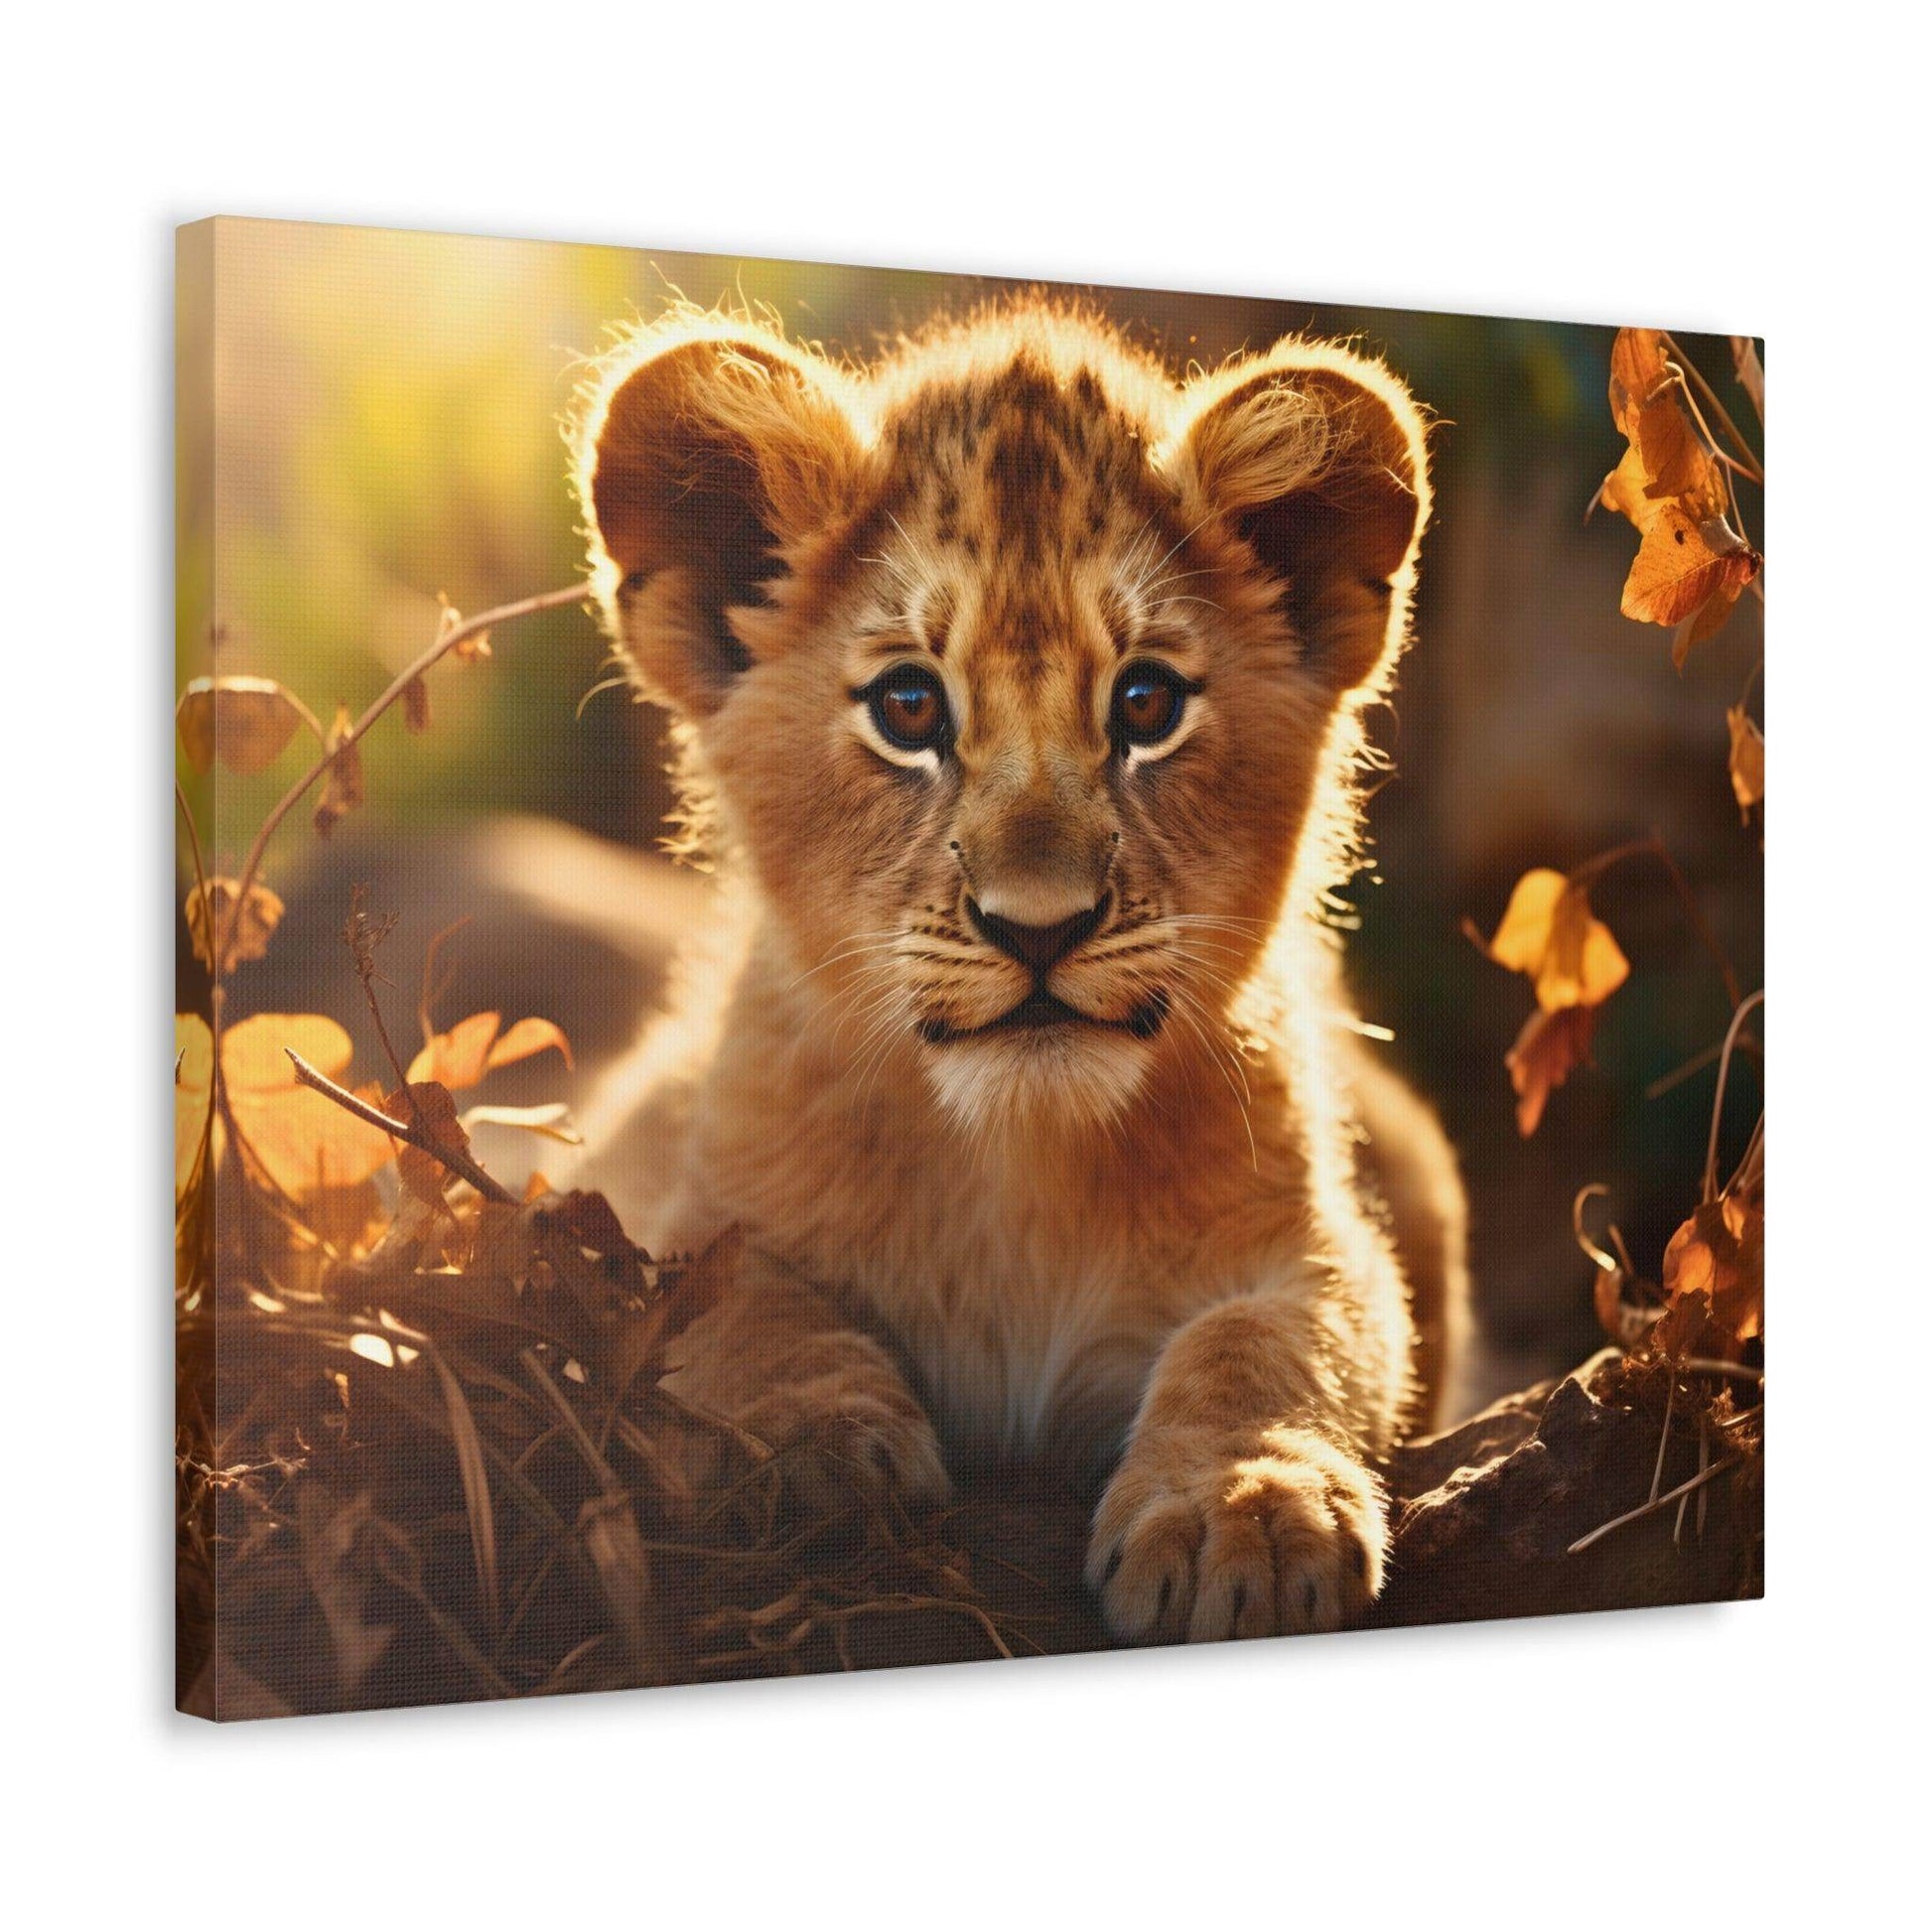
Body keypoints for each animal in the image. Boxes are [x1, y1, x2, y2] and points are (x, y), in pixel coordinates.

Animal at [564, 297, 1470, 1643]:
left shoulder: (1314, 1238)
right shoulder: (664, 1193)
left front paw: (1241, 1509)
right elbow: (733, 1300)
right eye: (907, 706)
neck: (1017, 1167)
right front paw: (804, 1446)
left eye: (1145, 703)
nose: (1038, 926)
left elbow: (1271, 1339)